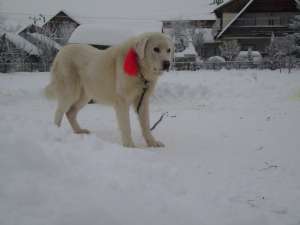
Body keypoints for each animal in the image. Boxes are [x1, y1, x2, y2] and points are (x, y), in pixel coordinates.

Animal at [44, 32, 173, 148]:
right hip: (70, 92)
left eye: (169, 50)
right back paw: (57, 133)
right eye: (156, 49)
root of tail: (61, 51)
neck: (138, 68)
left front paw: (152, 143)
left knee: (70, 113)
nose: (167, 63)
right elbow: (126, 126)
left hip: (85, 96)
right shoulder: (122, 101)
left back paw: (79, 131)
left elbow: (146, 125)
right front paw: (129, 146)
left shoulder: (143, 101)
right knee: (59, 112)